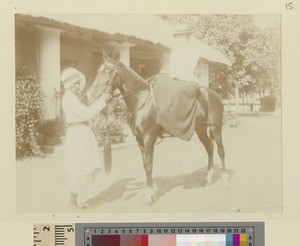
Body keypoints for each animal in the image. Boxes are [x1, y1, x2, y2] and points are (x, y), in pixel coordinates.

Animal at [89, 51, 227, 203]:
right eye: (98, 70)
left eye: (108, 71)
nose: (90, 95)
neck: (141, 100)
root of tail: (213, 95)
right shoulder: (140, 139)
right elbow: (146, 164)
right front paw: (151, 189)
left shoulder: (148, 138)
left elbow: (148, 165)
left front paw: (149, 195)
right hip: (200, 129)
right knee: (209, 147)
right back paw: (208, 178)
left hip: (216, 128)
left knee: (220, 150)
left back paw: (225, 180)